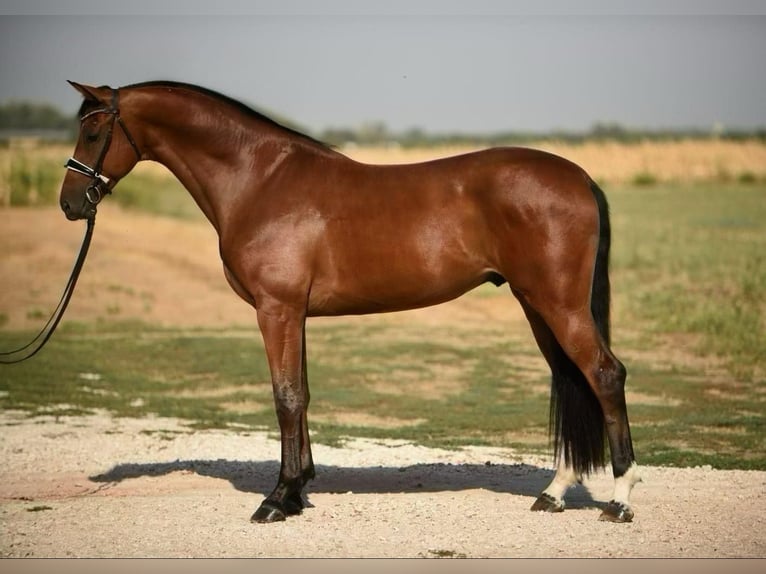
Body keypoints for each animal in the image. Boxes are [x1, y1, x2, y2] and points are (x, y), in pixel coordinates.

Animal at [60, 81, 640, 528]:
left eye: (93, 132)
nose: (70, 204)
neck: (259, 179)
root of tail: (579, 177)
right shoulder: (294, 313)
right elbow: (302, 395)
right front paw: (298, 491)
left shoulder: (276, 309)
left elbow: (285, 397)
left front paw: (276, 500)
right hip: (536, 303)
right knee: (572, 378)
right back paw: (554, 493)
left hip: (558, 303)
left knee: (604, 375)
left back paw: (620, 500)